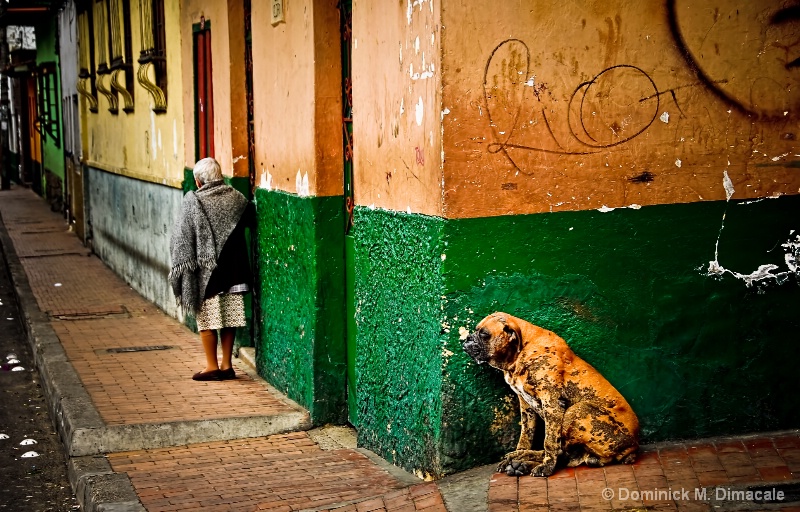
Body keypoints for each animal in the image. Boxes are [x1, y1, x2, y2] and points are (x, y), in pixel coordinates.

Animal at [462, 312, 636, 476]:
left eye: (484, 334)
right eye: (476, 331)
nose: (467, 339)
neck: (521, 352)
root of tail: (633, 447)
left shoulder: (551, 404)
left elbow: (550, 442)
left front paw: (546, 467)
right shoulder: (526, 407)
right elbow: (525, 436)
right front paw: (520, 452)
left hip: (578, 410)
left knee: (560, 450)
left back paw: (524, 463)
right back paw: (519, 460)